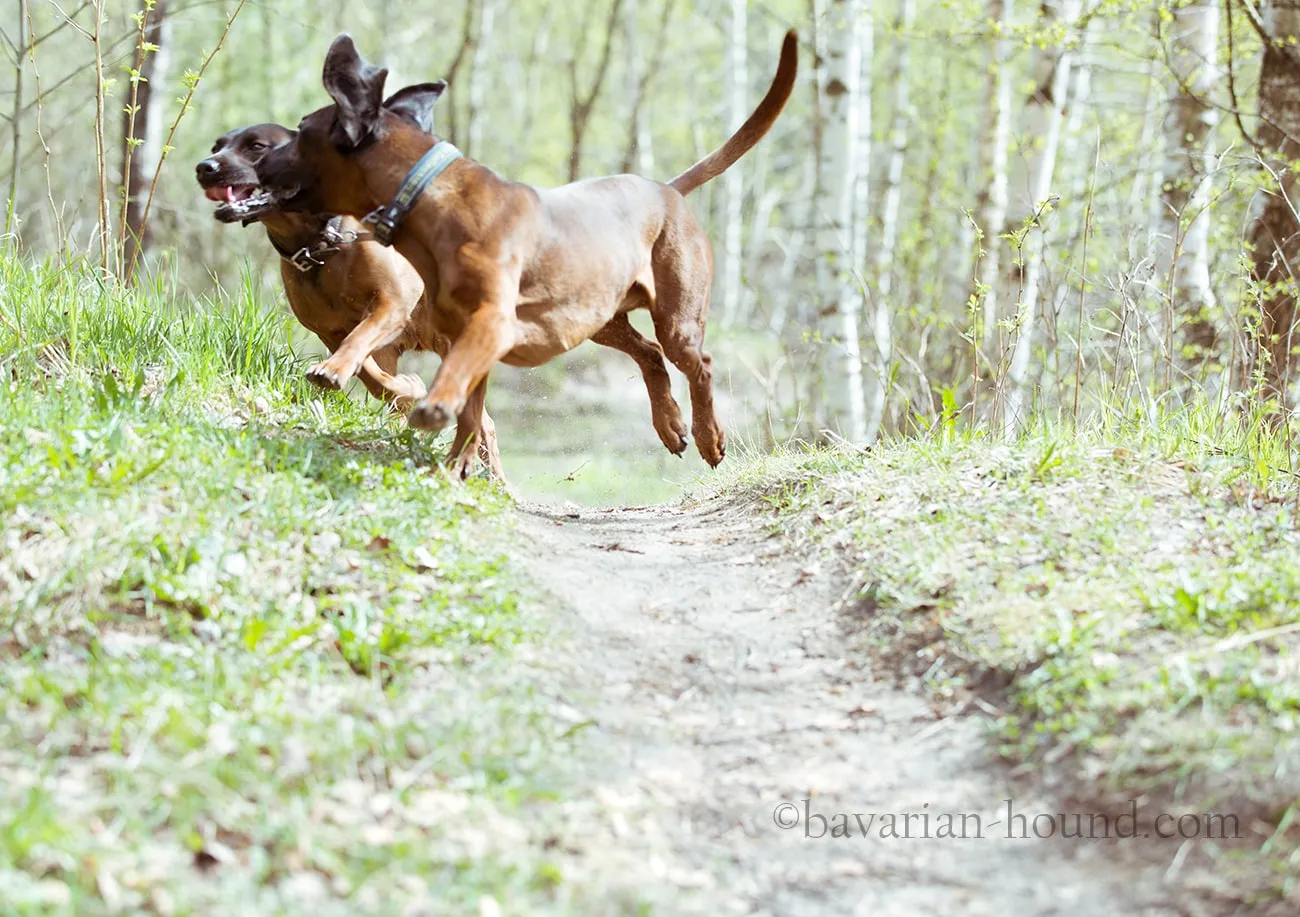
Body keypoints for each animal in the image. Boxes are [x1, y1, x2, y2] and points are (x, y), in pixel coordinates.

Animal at [258, 32, 795, 468]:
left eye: (301, 132)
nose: (254, 165)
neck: (427, 198)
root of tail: (665, 190)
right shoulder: (463, 335)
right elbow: (471, 418)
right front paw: (454, 468)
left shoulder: (489, 323)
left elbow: (452, 389)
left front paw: (431, 410)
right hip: (597, 317)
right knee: (649, 354)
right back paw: (669, 425)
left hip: (677, 314)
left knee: (697, 364)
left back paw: (708, 437)